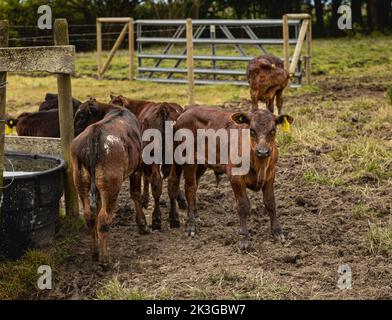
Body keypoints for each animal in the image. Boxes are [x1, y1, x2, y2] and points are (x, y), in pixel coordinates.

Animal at [70, 99, 147, 266]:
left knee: (90, 216)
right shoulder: (137, 169)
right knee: (103, 219)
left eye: (81, 116)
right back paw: (105, 260)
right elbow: (135, 193)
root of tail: (94, 132)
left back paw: (95, 252)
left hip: (81, 182)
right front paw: (143, 225)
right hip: (111, 186)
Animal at [108, 95, 186, 230]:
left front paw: (144, 199)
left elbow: (145, 177)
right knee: (172, 182)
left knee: (156, 182)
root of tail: (163, 108)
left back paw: (156, 219)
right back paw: (174, 218)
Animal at [168, 107, 294, 250]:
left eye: (273, 130)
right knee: (189, 188)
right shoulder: (235, 177)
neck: (259, 164)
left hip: (201, 163)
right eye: (251, 130)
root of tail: (187, 111)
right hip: (186, 159)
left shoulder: (270, 176)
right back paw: (190, 225)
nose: (262, 151)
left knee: (192, 185)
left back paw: (196, 215)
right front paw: (244, 238)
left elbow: (270, 202)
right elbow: (243, 205)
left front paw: (277, 232)